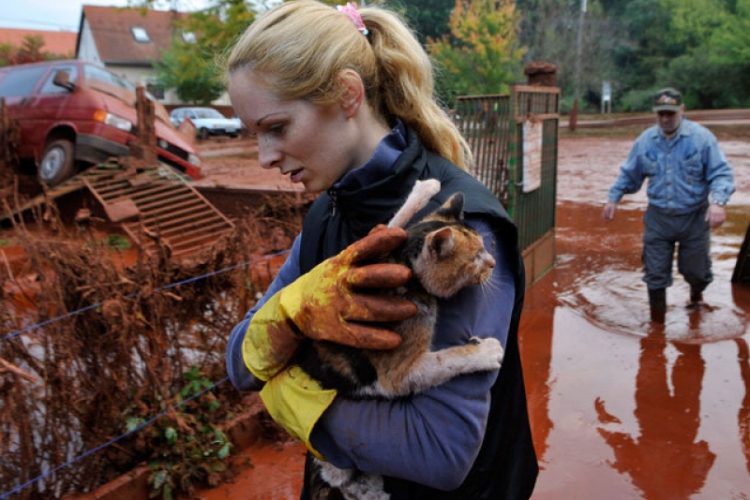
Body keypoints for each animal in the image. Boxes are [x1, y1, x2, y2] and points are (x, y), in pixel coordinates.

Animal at [296, 180, 502, 500]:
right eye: (474, 259)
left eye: (484, 246)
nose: (493, 262)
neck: (402, 261)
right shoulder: (398, 374)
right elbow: (448, 359)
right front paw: (487, 352)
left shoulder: (369, 257)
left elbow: (394, 224)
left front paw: (425, 189)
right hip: (330, 455)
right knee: (339, 477)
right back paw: (370, 490)